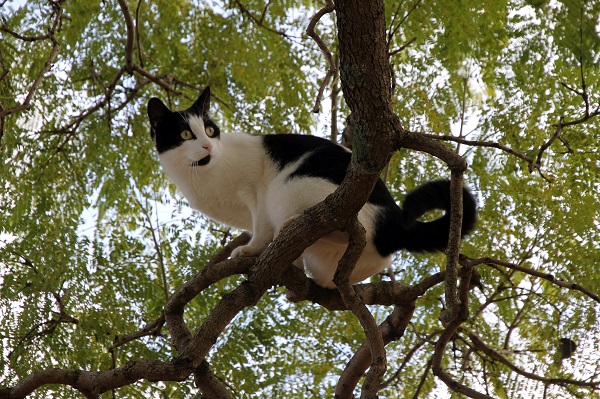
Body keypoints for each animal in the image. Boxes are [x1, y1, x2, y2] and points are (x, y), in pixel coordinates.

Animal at [148, 86, 476, 288]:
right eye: (186, 133)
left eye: (210, 130)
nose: (207, 145)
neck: (202, 175)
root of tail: (393, 218)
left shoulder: (257, 193)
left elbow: (260, 228)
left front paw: (252, 250)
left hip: (288, 188)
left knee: (347, 224)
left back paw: (297, 227)